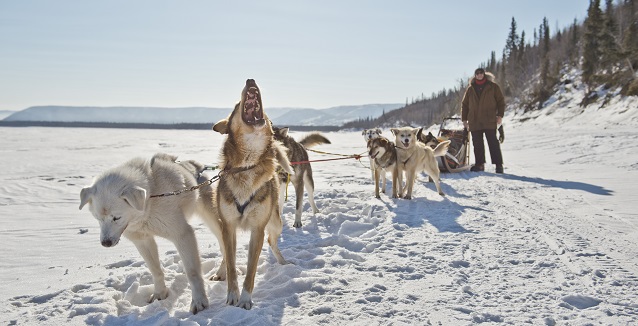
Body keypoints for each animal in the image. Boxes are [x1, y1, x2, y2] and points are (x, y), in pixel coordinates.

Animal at [80, 153, 222, 314]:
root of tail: (196, 166)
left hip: (212, 220)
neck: (151, 198)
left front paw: (199, 301)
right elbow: (155, 270)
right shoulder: (143, 240)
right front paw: (160, 293)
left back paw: (223, 272)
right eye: (98, 218)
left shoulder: (182, 235)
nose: (106, 243)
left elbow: (192, 272)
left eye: (116, 217)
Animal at [212, 79, 292, 310]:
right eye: (237, 104)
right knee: (225, 254)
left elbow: (251, 270)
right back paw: (220, 270)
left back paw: (283, 262)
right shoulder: (228, 226)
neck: (246, 167)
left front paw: (246, 299)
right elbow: (231, 265)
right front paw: (232, 295)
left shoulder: (258, 229)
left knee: (272, 242)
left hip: (276, 222)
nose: (250, 80)